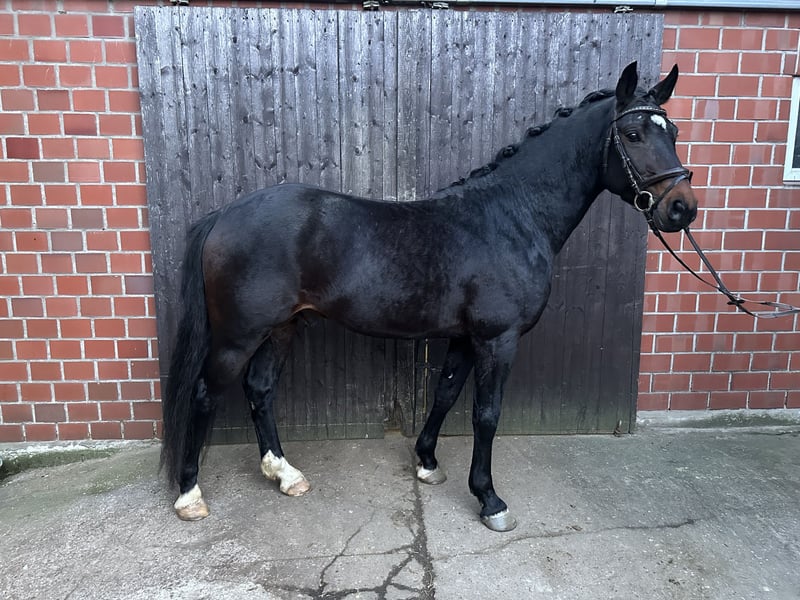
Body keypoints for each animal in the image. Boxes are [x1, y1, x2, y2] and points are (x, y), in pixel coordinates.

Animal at [161, 61, 697, 531]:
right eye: (633, 135)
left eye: (671, 132)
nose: (681, 208)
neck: (512, 216)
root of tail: (224, 215)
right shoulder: (498, 339)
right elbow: (486, 414)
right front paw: (489, 499)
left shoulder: (464, 337)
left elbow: (445, 393)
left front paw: (427, 462)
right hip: (239, 335)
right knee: (206, 394)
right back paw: (189, 496)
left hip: (282, 327)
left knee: (260, 389)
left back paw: (285, 474)